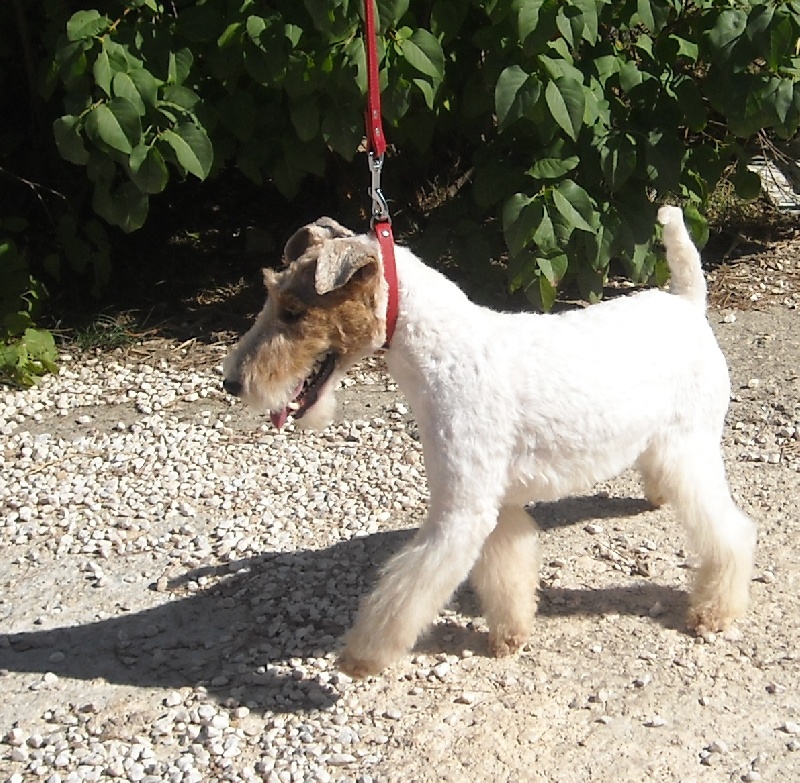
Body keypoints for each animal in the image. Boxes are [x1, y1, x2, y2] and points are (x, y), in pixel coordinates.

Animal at [223, 206, 757, 677]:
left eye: (293, 311)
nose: (232, 383)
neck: (442, 353)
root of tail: (685, 302)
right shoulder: (492, 505)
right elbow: (505, 576)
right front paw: (509, 637)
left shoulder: (461, 510)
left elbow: (405, 592)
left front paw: (361, 657)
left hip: (690, 447)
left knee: (731, 531)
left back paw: (714, 611)